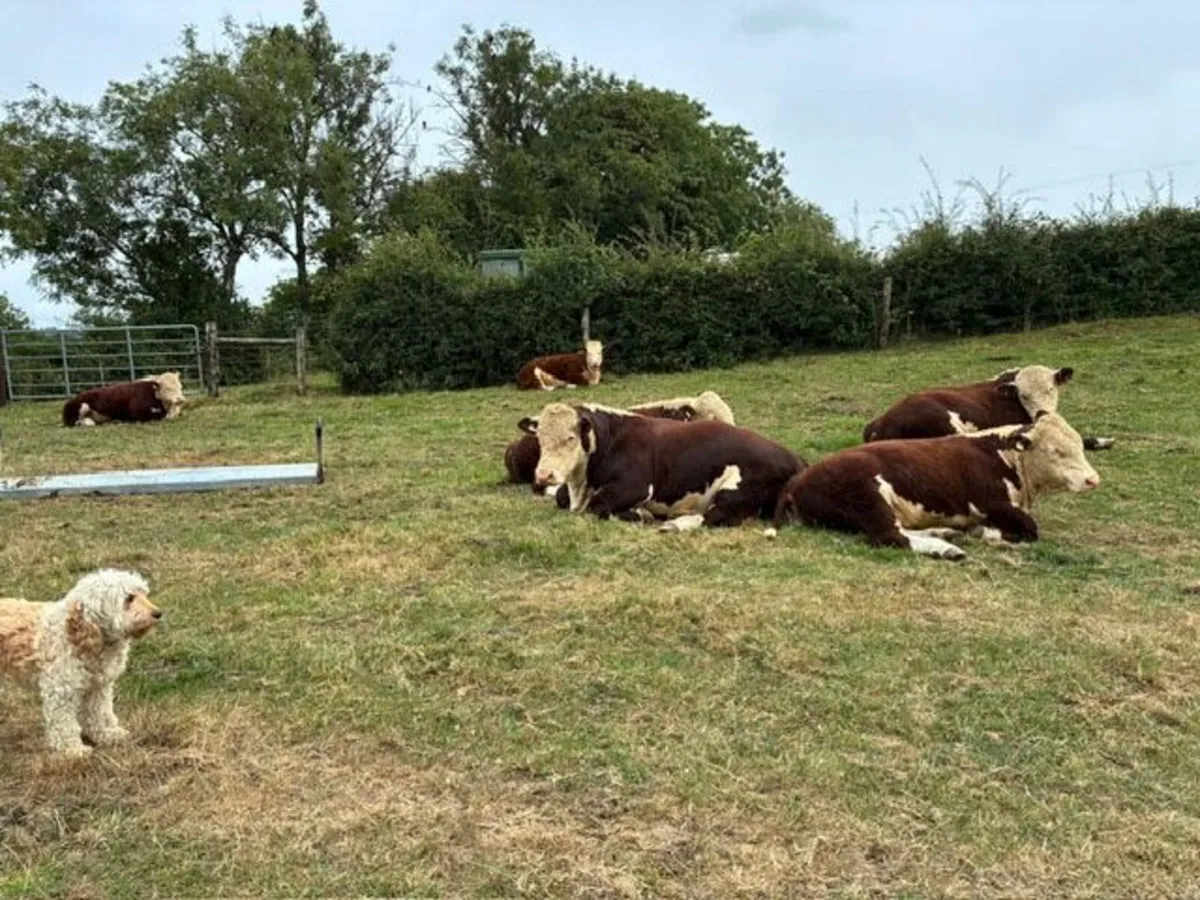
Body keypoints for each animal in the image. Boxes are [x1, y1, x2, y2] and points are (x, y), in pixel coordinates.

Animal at [525, 402, 804, 532]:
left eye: (570, 438)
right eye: (539, 437)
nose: (543, 475)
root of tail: (795, 458)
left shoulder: (635, 486)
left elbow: (598, 506)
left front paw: (641, 514)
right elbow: (560, 497)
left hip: (737, 490)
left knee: (715, 516)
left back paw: (674, 524)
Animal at [773, 411, 1101, 560]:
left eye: (1079, 446)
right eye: (1056, 452)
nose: (1093, 479)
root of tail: (801, 477)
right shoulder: (992, 503)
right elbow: (1030, 529)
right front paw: (988, 533)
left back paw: (944, 533)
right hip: (869, 495)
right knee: (891, 537)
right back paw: (947, 548)